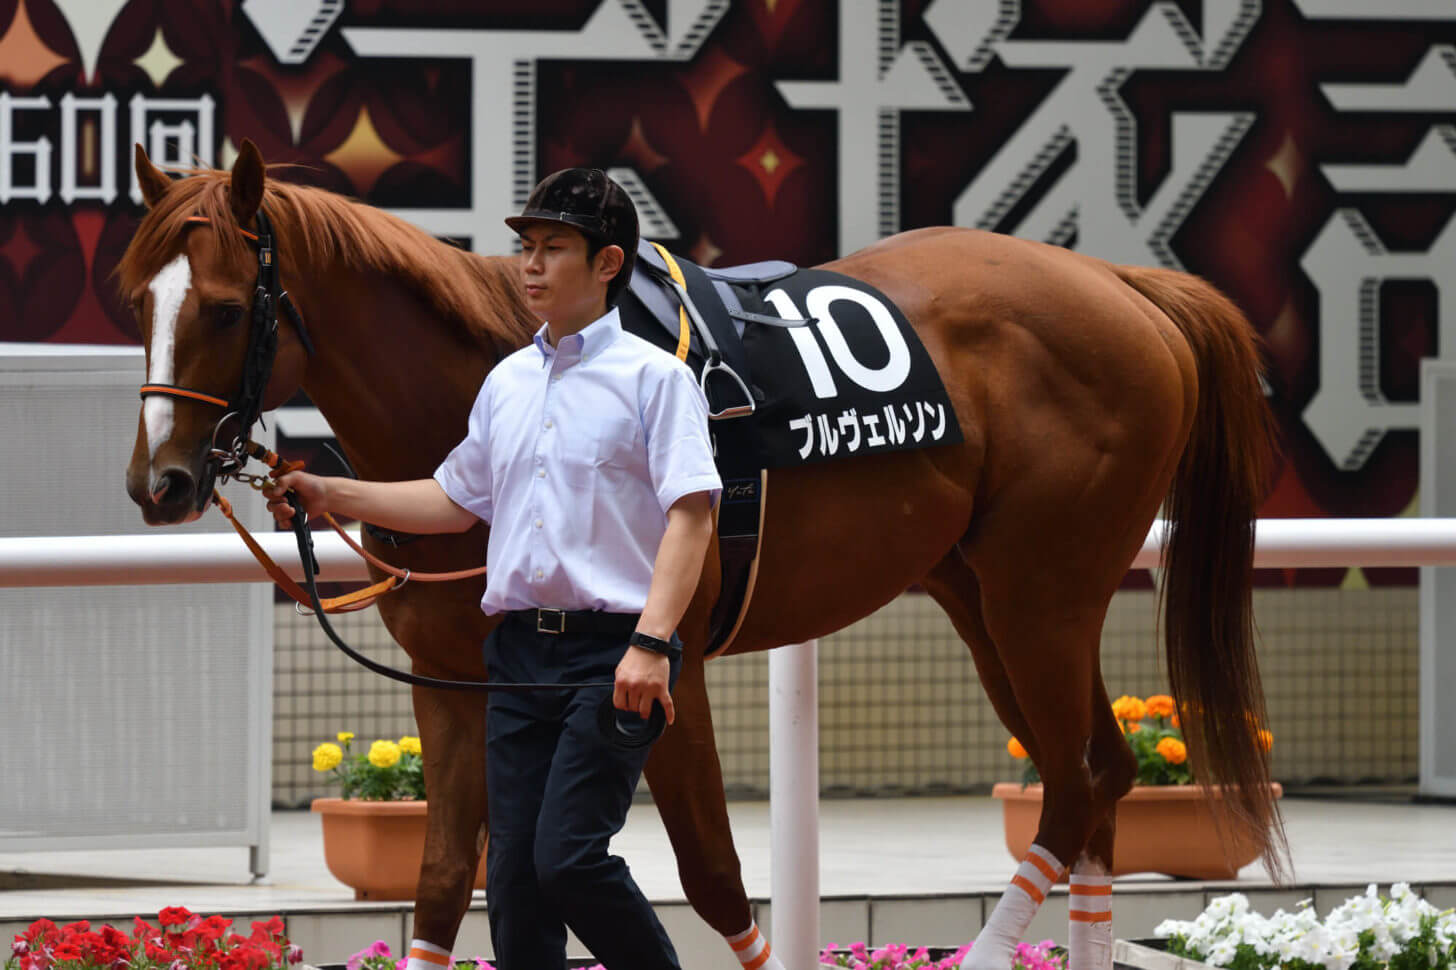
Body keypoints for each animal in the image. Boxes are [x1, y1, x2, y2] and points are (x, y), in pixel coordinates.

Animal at [125, 142, 1287, 967]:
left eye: (224, 308)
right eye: (140, 299)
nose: (158, 483)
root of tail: (1128, 288)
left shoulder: (660, 673)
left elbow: (716, 879)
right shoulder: (454, 683)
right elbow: (448, 881)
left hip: (1042, 593)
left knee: (1079, 785)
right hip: (984, 594)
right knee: (1099, 776)